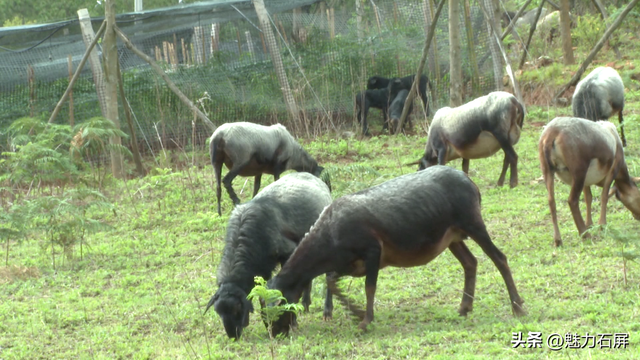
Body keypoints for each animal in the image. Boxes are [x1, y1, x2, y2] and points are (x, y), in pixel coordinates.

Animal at [205, 173, 336, 338]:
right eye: (218, 312)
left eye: (237, 309)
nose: (233, 337)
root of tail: (312, 176)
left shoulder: (288, 252)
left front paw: (293, 322)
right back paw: (306, 304)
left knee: (328, 275)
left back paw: (327, 312)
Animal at [264, 166, 524, 334]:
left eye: (276, 309)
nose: (276, 334)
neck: (330, 236)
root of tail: (469, 182)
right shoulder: (348, 264)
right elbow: (331, 281)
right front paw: (356, 311)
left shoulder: (372, 252)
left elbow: (369, 287)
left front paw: (365, 321)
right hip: (452, 237)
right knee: (470, 262)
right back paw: (464, 308)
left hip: (472, 222)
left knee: (499, 258)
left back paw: (517, 306)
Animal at [540, 118, 640, 248]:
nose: (637, 216)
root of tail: (552, 133)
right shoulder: (612, 170)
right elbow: (604, 196)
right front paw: (602, 225)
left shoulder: (586, 181)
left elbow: (588, 197)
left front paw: (590, 224)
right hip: (579, 173)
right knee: (572, 201)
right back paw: (585, 234)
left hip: (548, 171)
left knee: (551, 201)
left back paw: (558, 240)